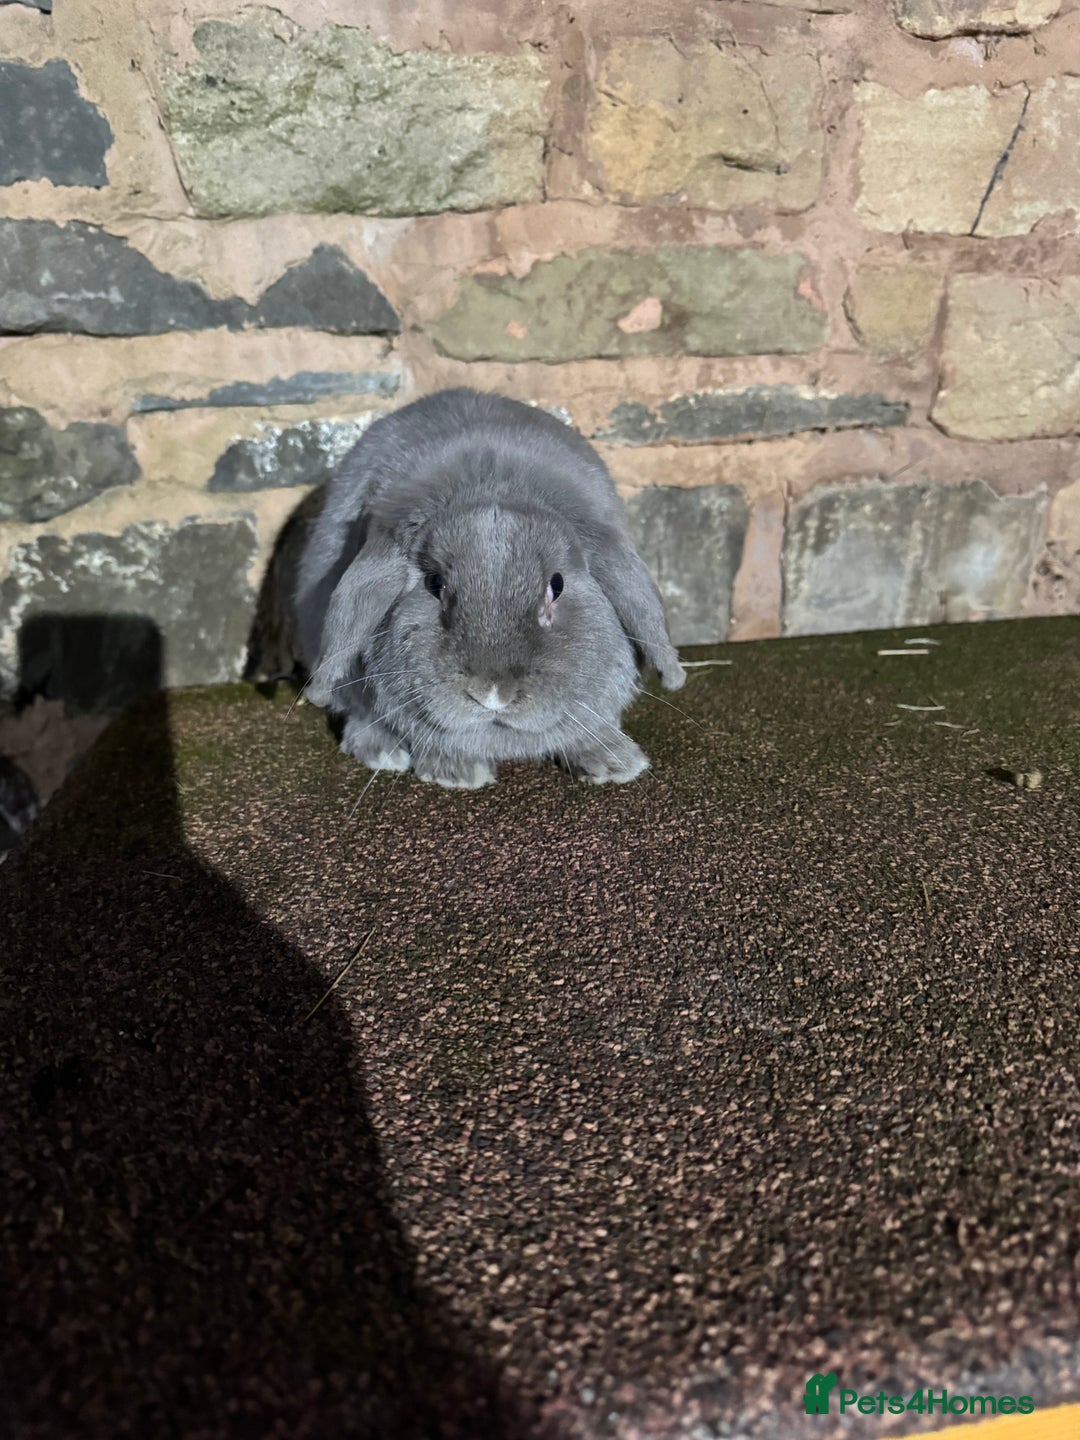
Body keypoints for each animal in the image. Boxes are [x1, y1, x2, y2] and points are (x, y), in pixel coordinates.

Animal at [292, 388, 685, 789]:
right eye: (434, 583)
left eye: (556, 585)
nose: (493, 693)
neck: (491, 482)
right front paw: (455, 773)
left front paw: (615, 763)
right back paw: (383, 753)